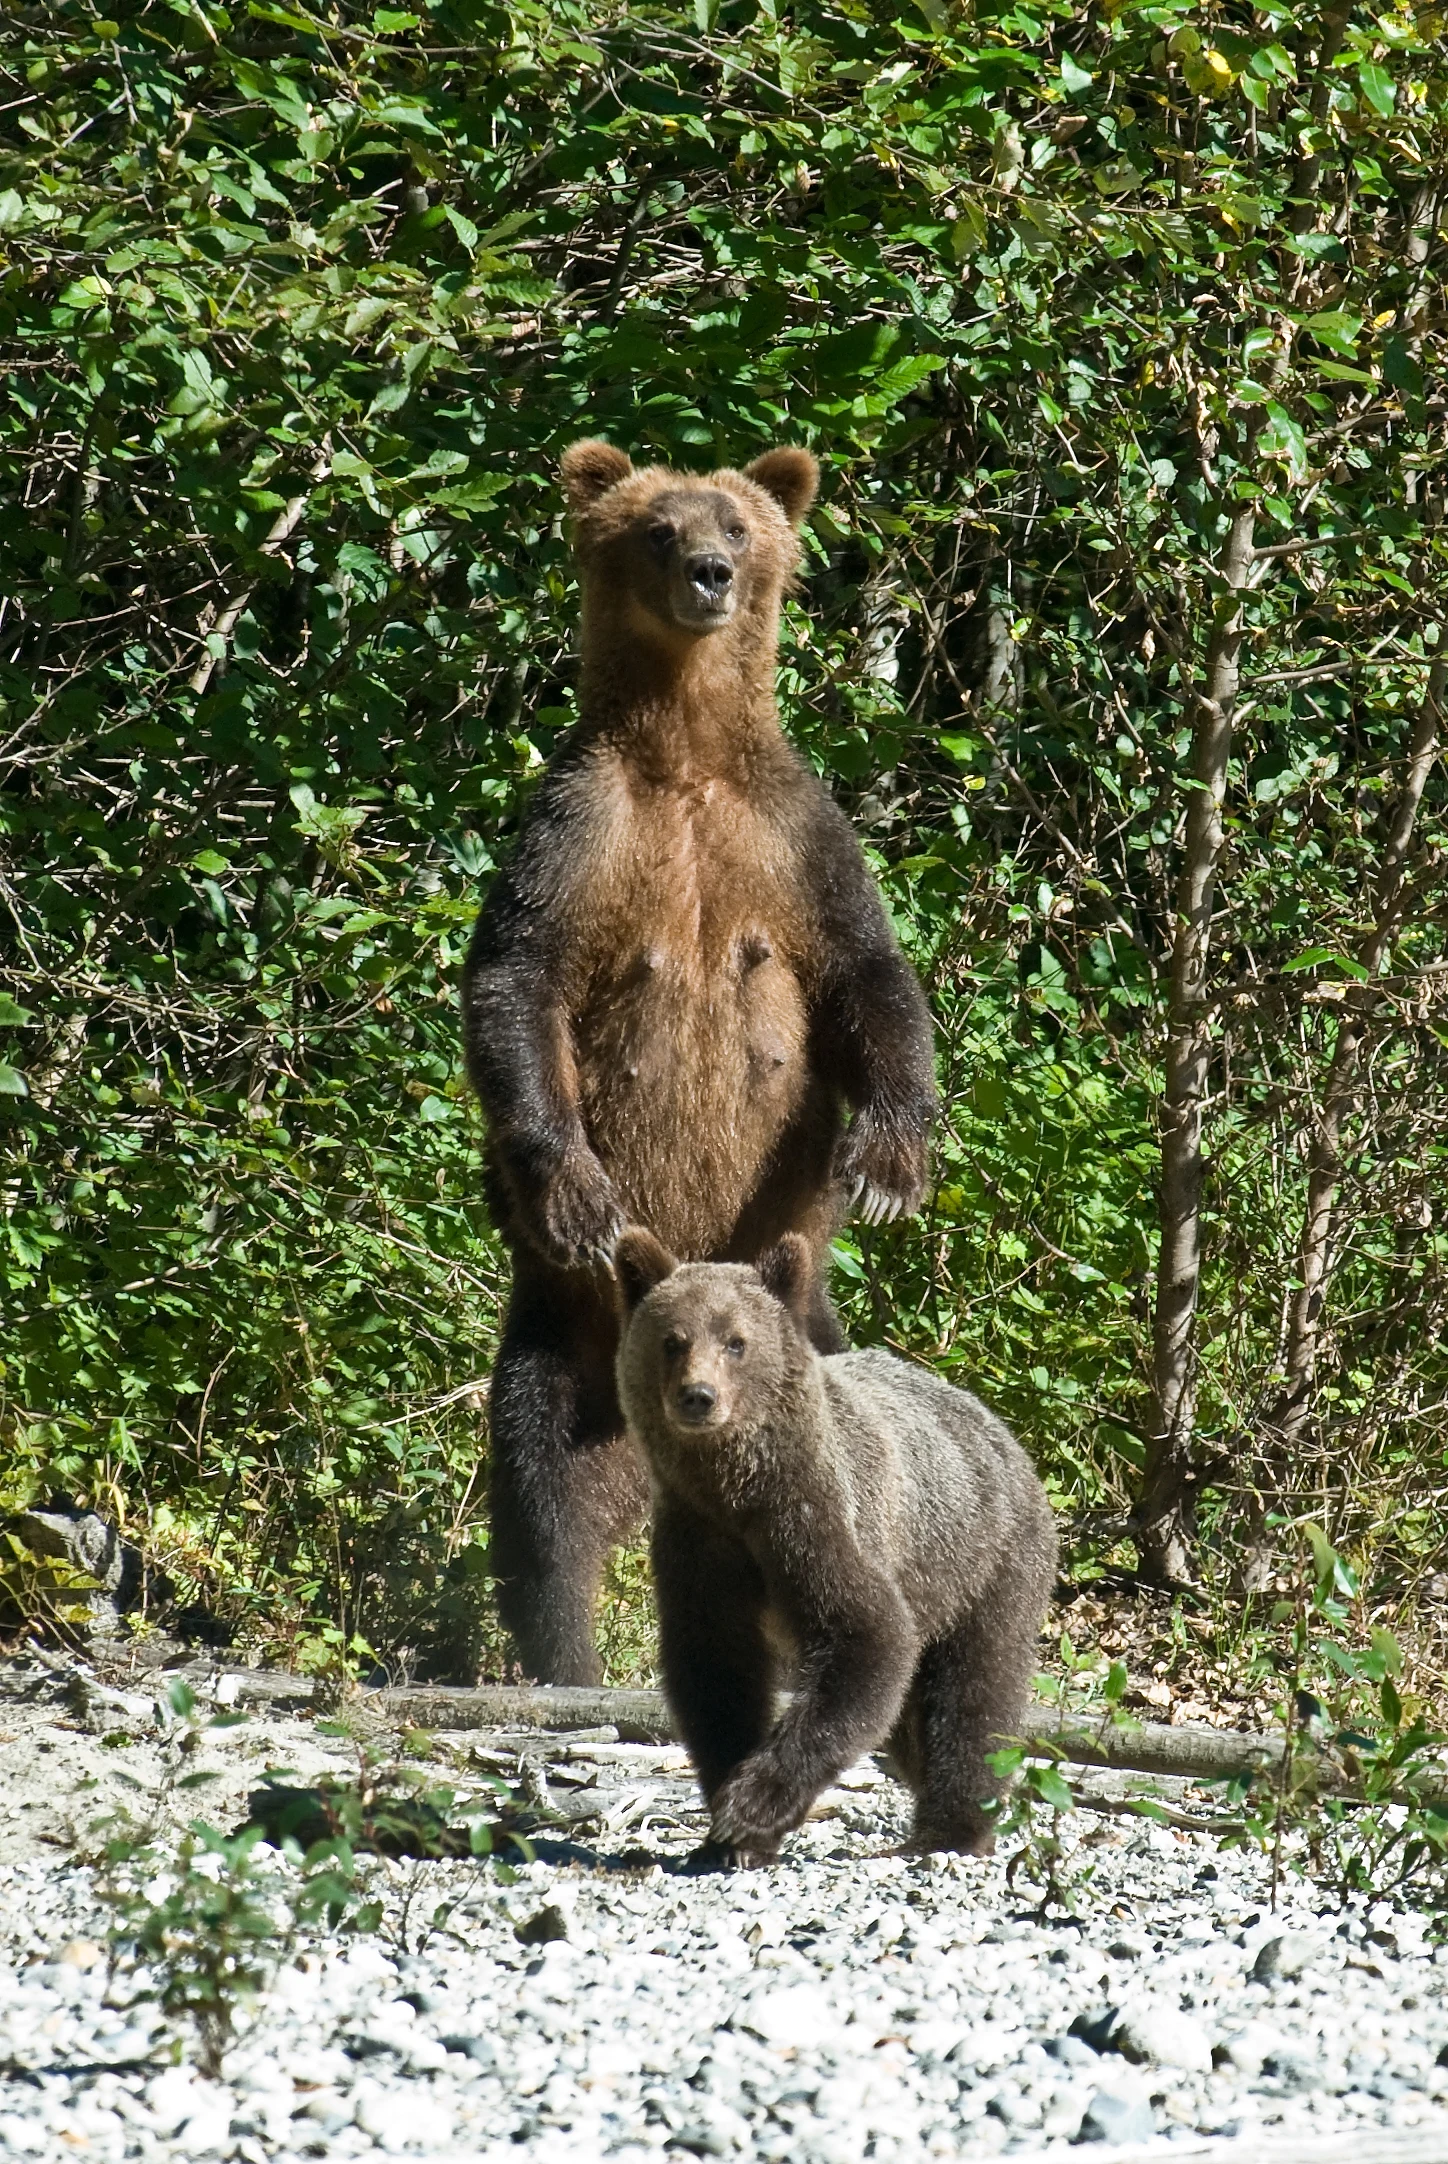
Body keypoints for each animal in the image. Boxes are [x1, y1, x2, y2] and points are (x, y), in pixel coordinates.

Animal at [461, 441, 938, 1685]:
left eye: (732, 518)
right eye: (656, 526)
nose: (710, 573)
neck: (682, 753)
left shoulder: (794, 837)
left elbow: (870, 977)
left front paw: (886, 1158)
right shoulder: (578, 833)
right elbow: (517, 981)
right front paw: (574, 1186)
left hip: (800, 1325)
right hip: (572, 1334)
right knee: (543, 1487)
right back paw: (567, 1657)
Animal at [613, 1226, 1058, 1866]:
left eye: (736, 1342)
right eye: (672, 1340)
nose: (698, 1396)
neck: (736, 1490)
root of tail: (1002, 1432)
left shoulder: (814, 1522)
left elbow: (866, 1640)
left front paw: (752, 1806)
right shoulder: (699, 1539)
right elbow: (714, 1671)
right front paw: (728, 1832)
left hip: (983, 1562)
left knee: (974, 1696)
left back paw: (951, 1829)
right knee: (913, 1721)